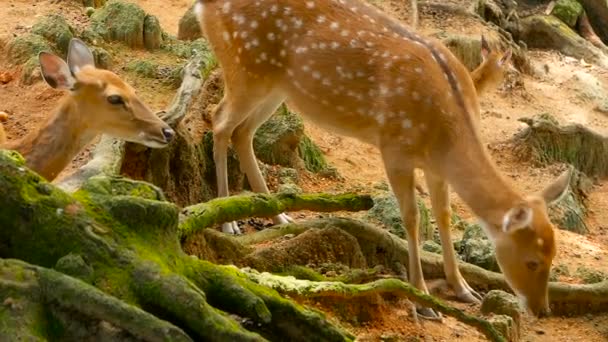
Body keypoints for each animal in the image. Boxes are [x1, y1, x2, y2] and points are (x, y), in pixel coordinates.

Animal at [194, 0, 568, 320]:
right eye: (533, 261)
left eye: (553, 255)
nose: (542, 310)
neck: (445, 132)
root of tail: (204, 6)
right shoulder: (394, 148)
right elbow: (412, 218)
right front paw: (423, 301)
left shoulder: (436, 167)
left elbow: (445, 215)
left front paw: (463, 288)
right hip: (245, 69)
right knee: (220, 120)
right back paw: (227, 221)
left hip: (277, 87)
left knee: (243, 132)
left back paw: (279, 215)